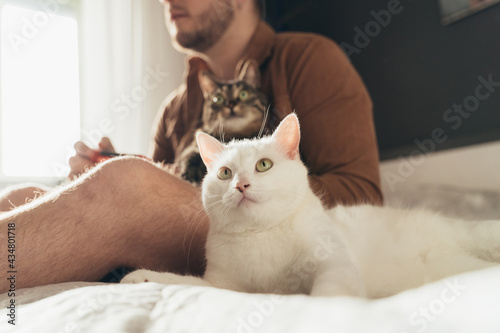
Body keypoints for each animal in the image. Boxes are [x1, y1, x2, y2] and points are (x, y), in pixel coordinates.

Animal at [122, 113, 500, 296]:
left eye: (263, 165)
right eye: (225, 173)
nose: (241, 185)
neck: (261, 238)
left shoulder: (334, 263)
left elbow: (330, 290)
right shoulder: (223, 286)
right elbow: (181, 280)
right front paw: (138, 277)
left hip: (476, 234)